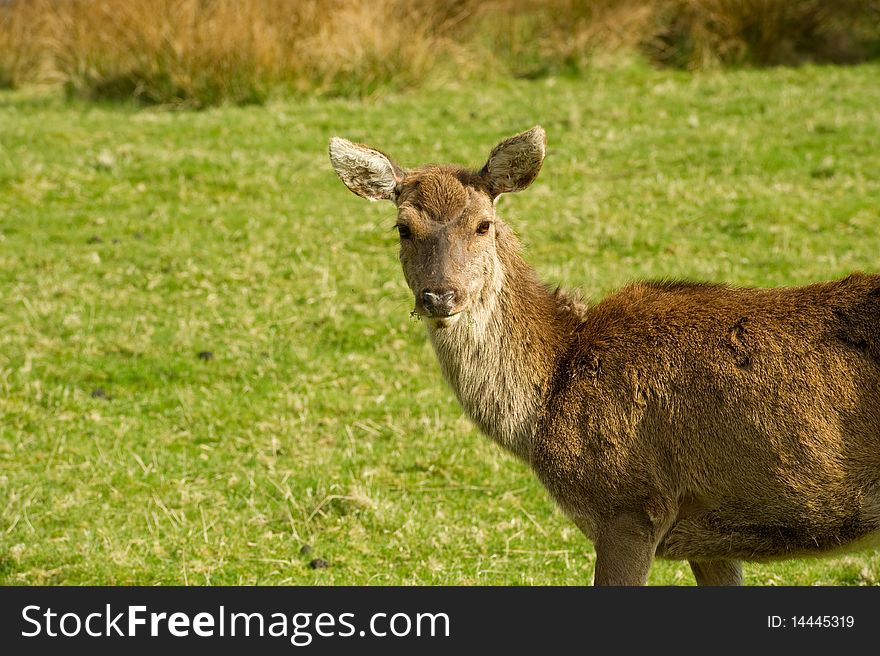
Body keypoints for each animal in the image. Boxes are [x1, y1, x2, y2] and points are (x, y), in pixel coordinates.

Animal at [326, 127, 880, 584]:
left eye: (483, 224)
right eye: (403, 227)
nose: (440, 296)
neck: (551, 392)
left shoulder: (630, 504)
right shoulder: (710, 537)